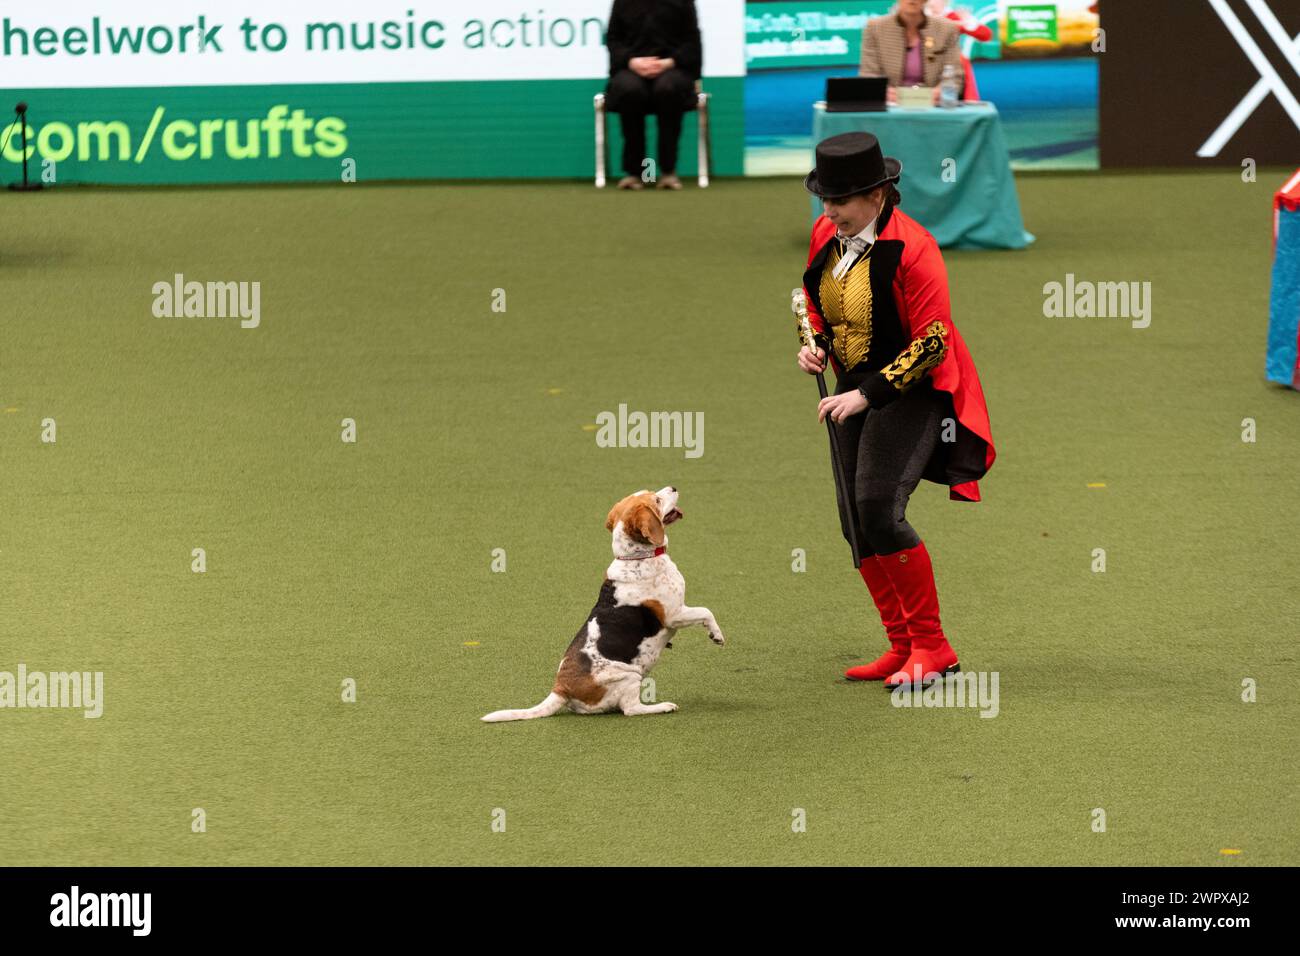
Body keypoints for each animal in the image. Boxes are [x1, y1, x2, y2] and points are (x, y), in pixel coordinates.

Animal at [480, 489, 728, 723]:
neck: (636, 557)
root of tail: (561, 689)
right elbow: (706, 611)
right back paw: (663, 706)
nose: (674, 487)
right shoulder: (674, 614)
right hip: (630, 676)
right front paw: (716, 634)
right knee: (631, 710)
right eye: (656, 500)